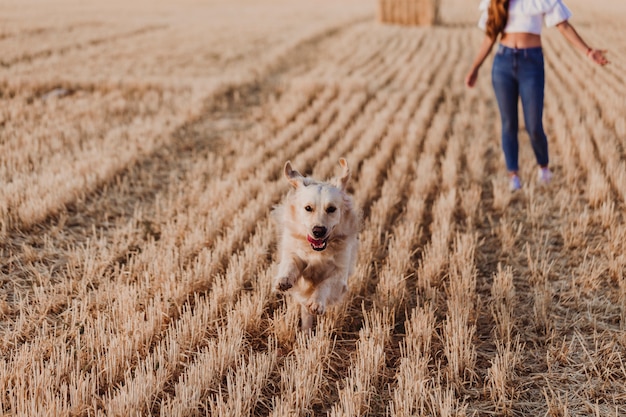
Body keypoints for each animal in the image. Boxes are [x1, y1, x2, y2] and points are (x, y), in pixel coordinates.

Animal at [272, 158, 358, 330]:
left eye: (331, 209)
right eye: (308, 208)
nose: (318, 231)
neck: (318, 252)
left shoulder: (340, 275)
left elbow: (325, 284)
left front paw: (317, 302)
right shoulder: (295, 254)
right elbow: (290, 264)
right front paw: (284, 279)